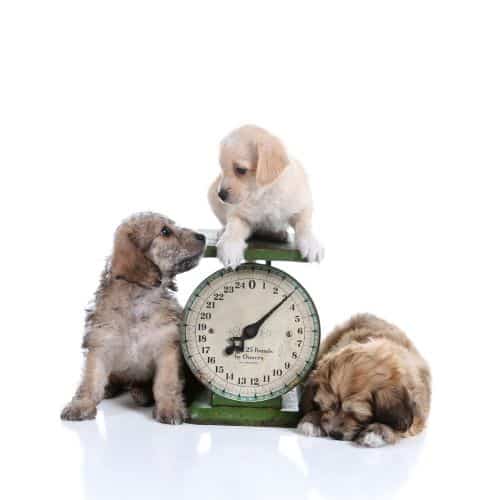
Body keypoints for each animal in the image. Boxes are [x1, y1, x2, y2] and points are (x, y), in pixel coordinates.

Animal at [60, 213, 205, 424]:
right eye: (165, 231)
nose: (203, 236)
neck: (138, 298)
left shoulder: (167, 347)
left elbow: (166, 383)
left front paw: (170, 407)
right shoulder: (100, 344)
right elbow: (90, 380)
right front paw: (81, 405)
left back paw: (142, 393)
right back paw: (111, 388)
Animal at [207, 125, 324, 270]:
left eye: (240, 170)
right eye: (222, 170)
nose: (220, 195)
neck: (264, 192)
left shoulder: (303, 206)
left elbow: (305, 225)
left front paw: (311, 244)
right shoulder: (240, 215)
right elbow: (233, 228)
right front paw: (229, 246)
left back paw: (279, 234)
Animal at [296, 314, 430, 448]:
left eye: (357, 415)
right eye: (325, 407)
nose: (334, 434)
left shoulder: (416, 416)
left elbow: (398, 424)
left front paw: (377, 431)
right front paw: (312, 420)